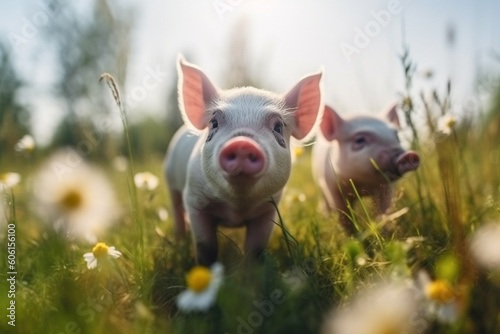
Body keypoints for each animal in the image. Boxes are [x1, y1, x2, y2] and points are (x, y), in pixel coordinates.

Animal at [162, 56, 322, 264]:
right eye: (214, 123)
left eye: (278, 127)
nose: (242, 143)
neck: (237, 207)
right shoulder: (193, 199)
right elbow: (206, 247)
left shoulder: (268, 209)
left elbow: (255, 248)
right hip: (170, 179)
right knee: (176, 210)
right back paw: (180, 238)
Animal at [314, 105, 420, 234]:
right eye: (359, 140)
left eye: (397, 136)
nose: (408, 155)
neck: (363, 185)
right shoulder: (331, 187)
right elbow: (344, 215)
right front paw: (353, 236)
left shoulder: (386, 188)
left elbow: (383, 211)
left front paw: (384, 232)